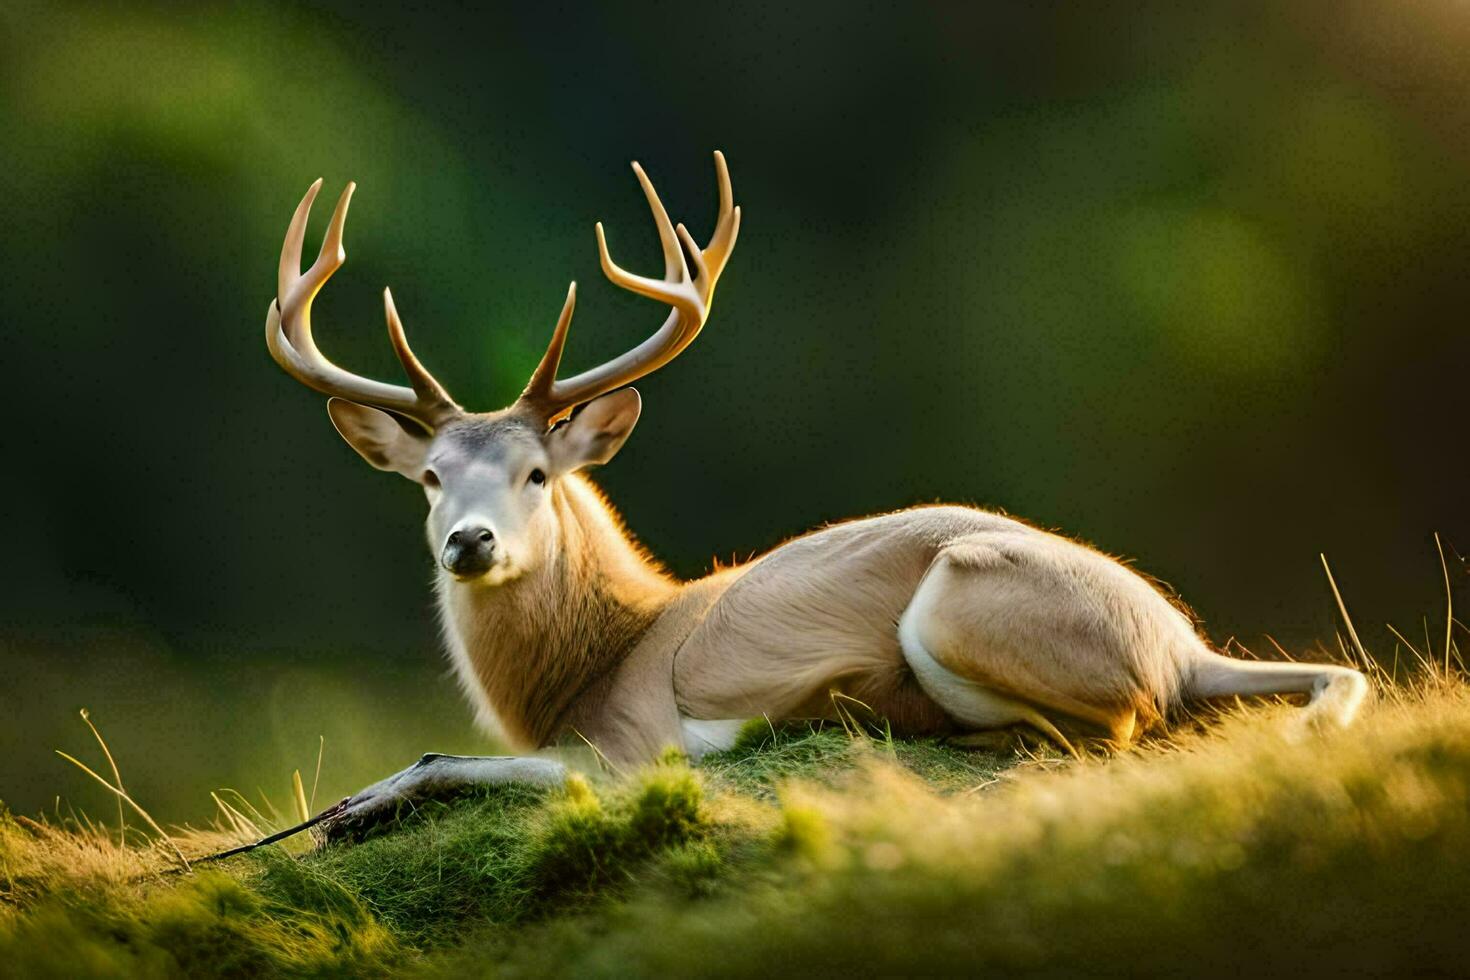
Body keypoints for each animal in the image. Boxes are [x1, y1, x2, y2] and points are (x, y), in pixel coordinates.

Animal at [252, 151, 1364, 846]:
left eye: (537, 472)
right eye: (431, 476)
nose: (471, 543)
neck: (604, 652)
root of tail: (1185, 648)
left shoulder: (634, 744)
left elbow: (442, 755)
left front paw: (359, 806)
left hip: (960, 603)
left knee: (1111, 728)